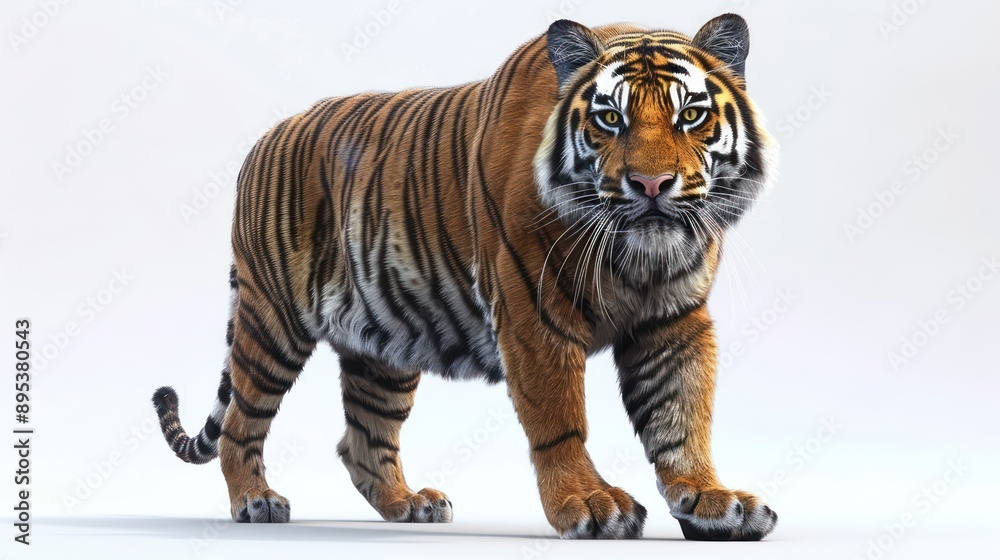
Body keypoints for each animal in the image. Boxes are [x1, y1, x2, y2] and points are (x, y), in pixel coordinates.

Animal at [152, 13, 779, 540]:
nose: (650, 185)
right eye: (610, 118)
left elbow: (681, 418)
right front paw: (588, 504)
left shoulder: (674, 320)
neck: (638, 258)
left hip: (385, 342)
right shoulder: (534, 315)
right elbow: (560, 420)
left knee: (362, 440)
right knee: (241, 422)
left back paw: (410, 504)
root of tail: (264, 140)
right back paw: (255, 501)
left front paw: (711, 502)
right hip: (273, 321)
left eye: (691, 115)